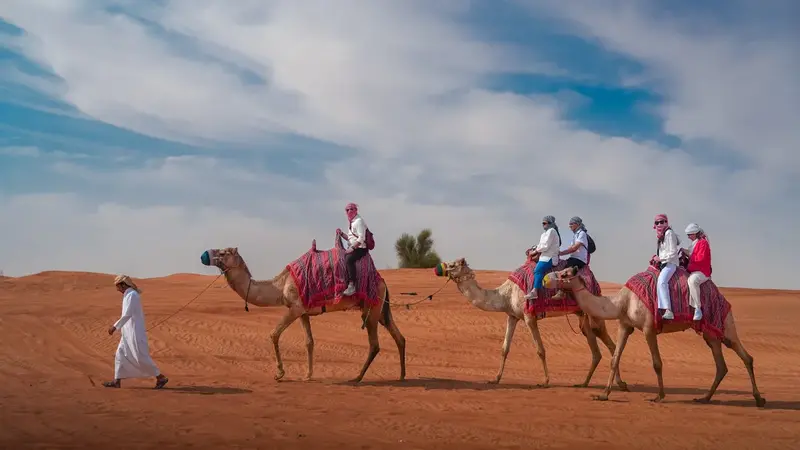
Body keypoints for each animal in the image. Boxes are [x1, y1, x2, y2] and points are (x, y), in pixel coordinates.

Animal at [199, 240, 406, 383]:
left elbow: (274, 334)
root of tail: (382, 280)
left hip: (371, 308)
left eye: (223, 252)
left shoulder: (295, 307)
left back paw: (357, 377)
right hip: (381, 309)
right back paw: (402, 375)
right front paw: (307, 375)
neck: (280, 285)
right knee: (399, 336)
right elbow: (309, 342)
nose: (203, 255)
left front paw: (280, 373)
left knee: (374, 344)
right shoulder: (304, 312)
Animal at [441, 258, 628, 390]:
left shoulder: (529, 316)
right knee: (597, 350)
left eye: (452, 265)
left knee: (608, 343)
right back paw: (586, 383)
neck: (505, 294)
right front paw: (495, 379)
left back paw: (619, 383)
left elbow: (540, 350)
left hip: (593, 312)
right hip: (582, 315)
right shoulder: (512, 316)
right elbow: (504, 349)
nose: (440, 267)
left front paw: (545, 381)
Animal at [543, 266, 766, 406]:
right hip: (710, 333)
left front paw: (659, 396)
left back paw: (759, 399)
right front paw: (603, 395)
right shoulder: (625, 325)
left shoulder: (649, 327)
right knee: (721, 364)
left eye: (564, 272)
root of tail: (721, 296)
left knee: (746, 356)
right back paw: (705, 398)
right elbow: (614, 359)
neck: (622, 301)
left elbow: (657, 362)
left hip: (725, 324)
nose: (545, 279)